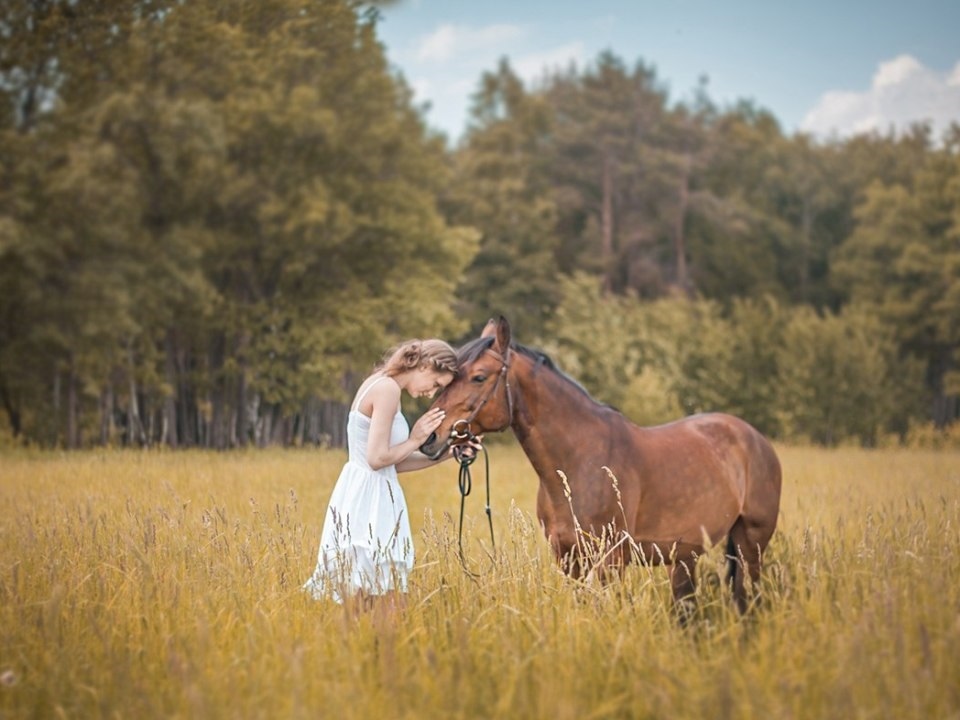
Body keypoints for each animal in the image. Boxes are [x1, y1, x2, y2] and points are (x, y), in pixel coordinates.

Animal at [424, 318, 784, 612]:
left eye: (478, 377)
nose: (431, 437)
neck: (579, 461)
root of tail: (756, 439)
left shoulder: (610, 561)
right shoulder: (568, 559)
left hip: (751, 544)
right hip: (686, 556)